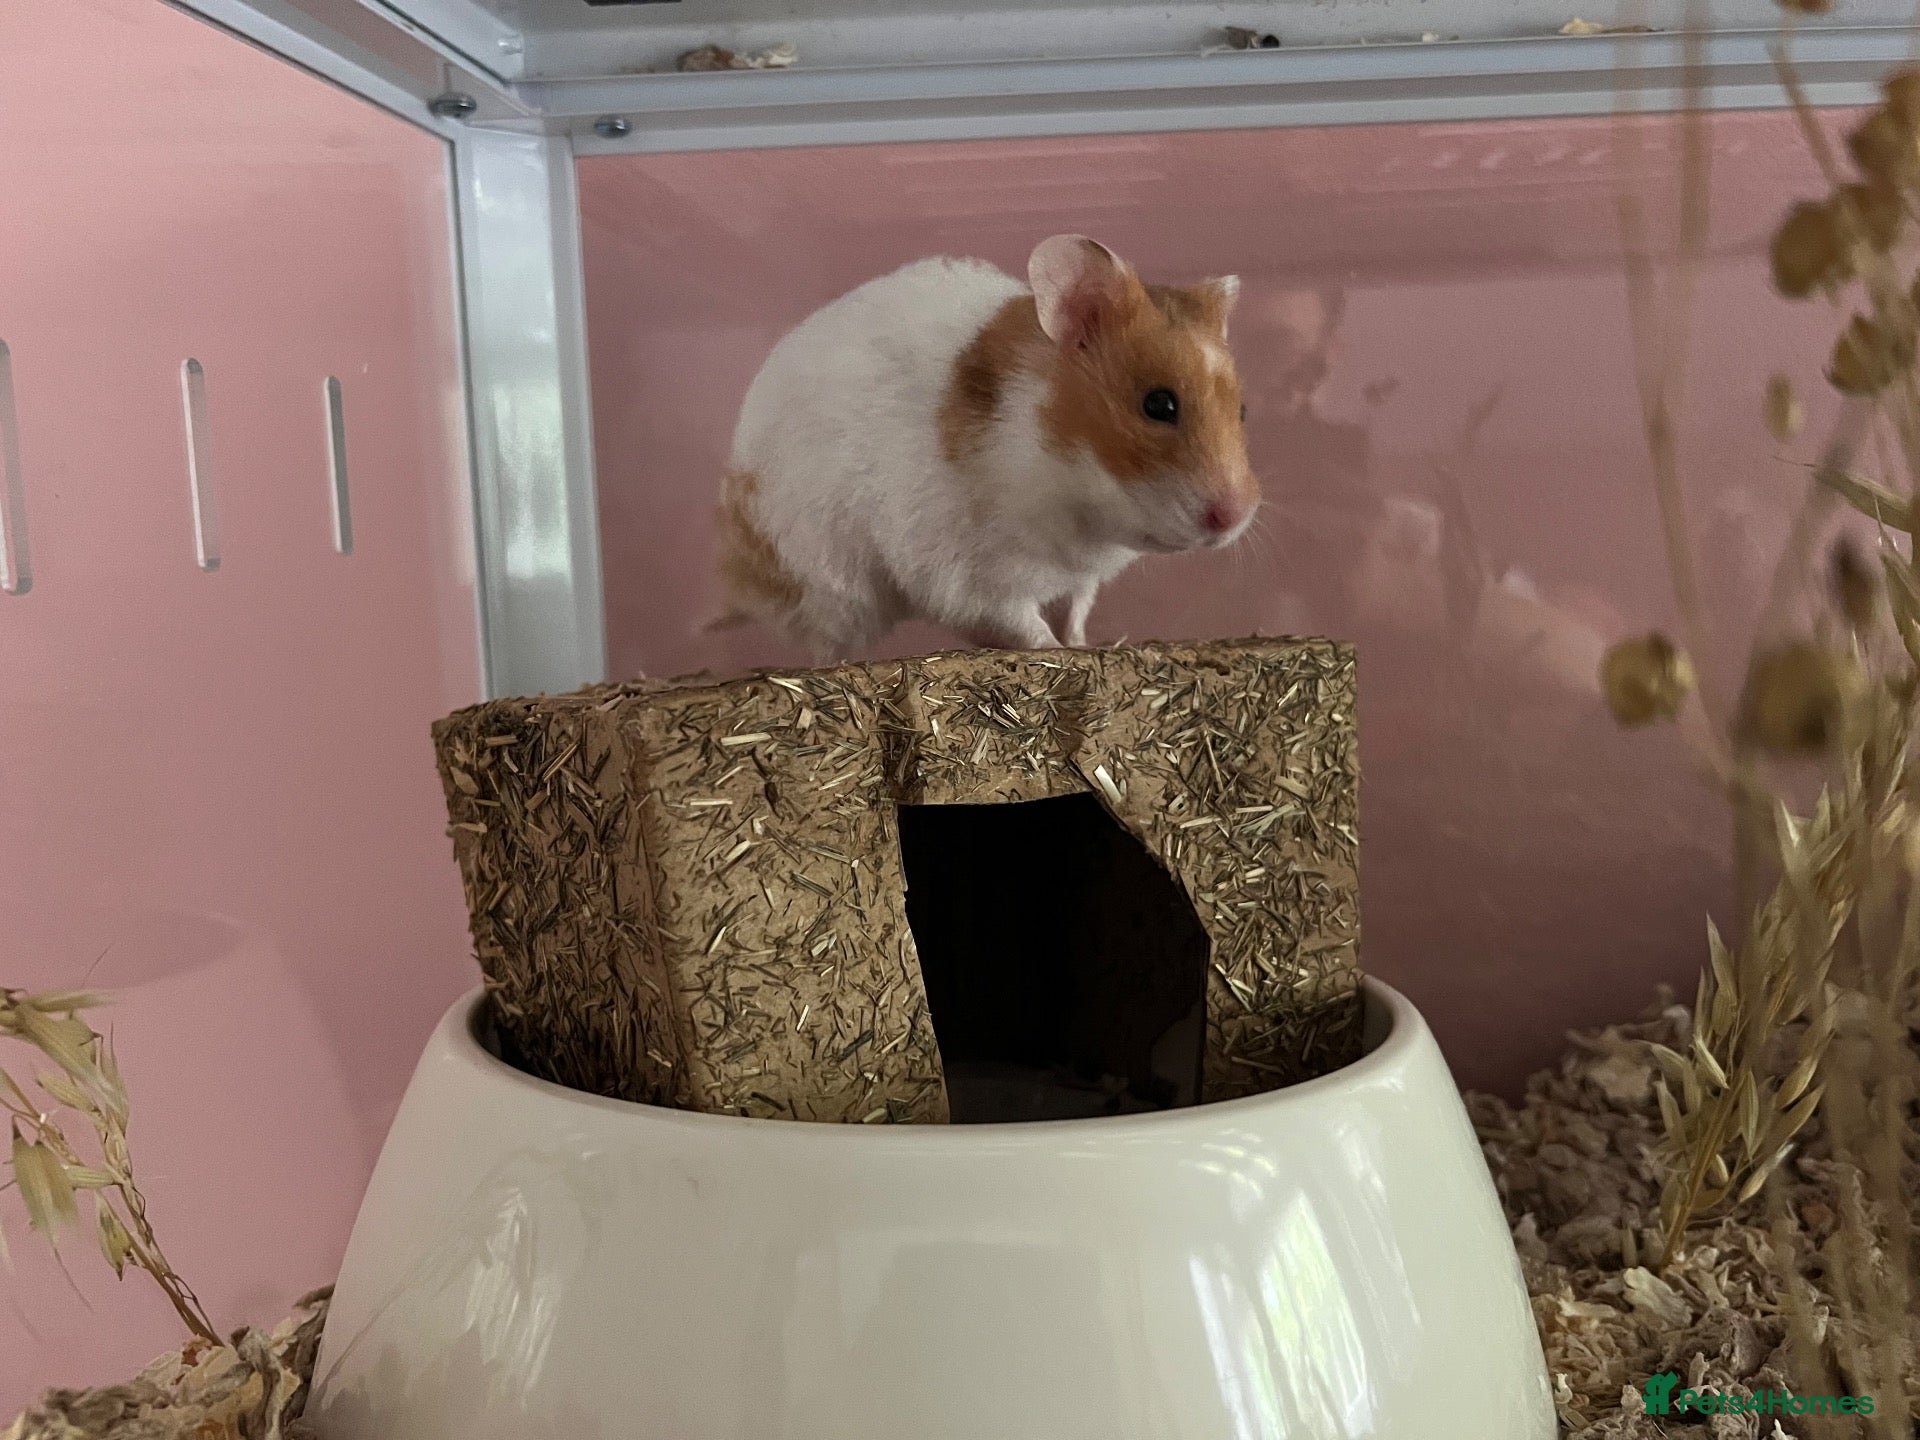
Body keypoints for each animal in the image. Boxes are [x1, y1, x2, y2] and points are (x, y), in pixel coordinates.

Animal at [713, 234, 1259, 662]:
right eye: (1159, 404)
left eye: (1243, 411)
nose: (1232, 518)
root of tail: (735, 574)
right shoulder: (975, 582)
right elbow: (1025, 626)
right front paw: (1055, 651)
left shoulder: (1079, 579)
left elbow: (1073, 614)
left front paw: (1086, 645)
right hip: (830, 587)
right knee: (826, 647)